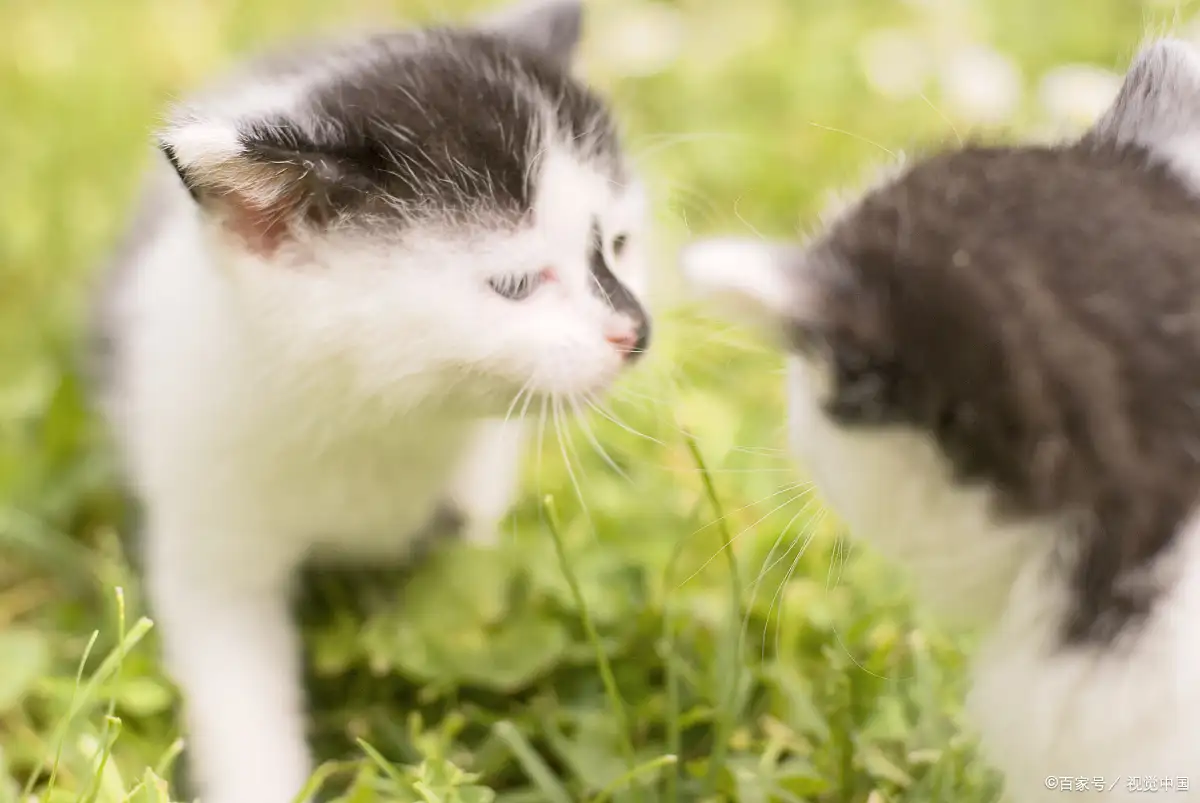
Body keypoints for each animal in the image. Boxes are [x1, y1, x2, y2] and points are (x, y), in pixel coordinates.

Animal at [87, 1, 652, 801]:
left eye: (620, 243)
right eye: (514, 285)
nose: (635, 332)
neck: (376, 412)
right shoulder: (207, 524)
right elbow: (236, 691)